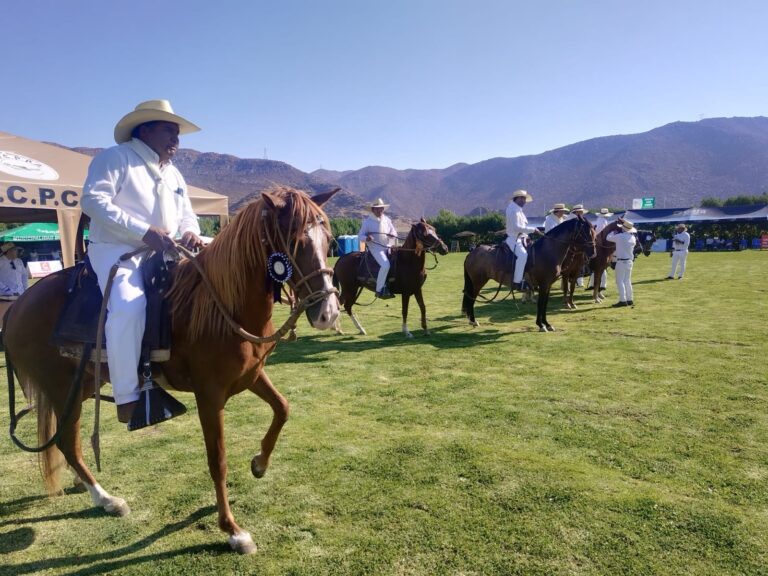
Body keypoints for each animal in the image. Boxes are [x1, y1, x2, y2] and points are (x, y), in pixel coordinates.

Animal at [2, 186, 340, 554]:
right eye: (294, 241)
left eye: (329, 241)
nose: (328, 313)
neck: (221, 303)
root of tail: (16, 308)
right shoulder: (209, 396)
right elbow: (218, 460)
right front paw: (233, 530)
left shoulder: (250, 376)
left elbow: (282, 408)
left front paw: (260, 464)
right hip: (65, 391)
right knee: (68, 442)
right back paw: (107, 499)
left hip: (81, 387)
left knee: (67, 440)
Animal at [462, 215, 595, 332]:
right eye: (585, 232)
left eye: (593, 232)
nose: (593, 253)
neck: (547, 252)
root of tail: (471, 253)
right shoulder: (543, 285)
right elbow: (541, 304)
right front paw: (541, 325)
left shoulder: (547, 285)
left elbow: (544, 304)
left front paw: (547, 324)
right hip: (478, 283)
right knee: (471, 299)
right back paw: (473, 321)